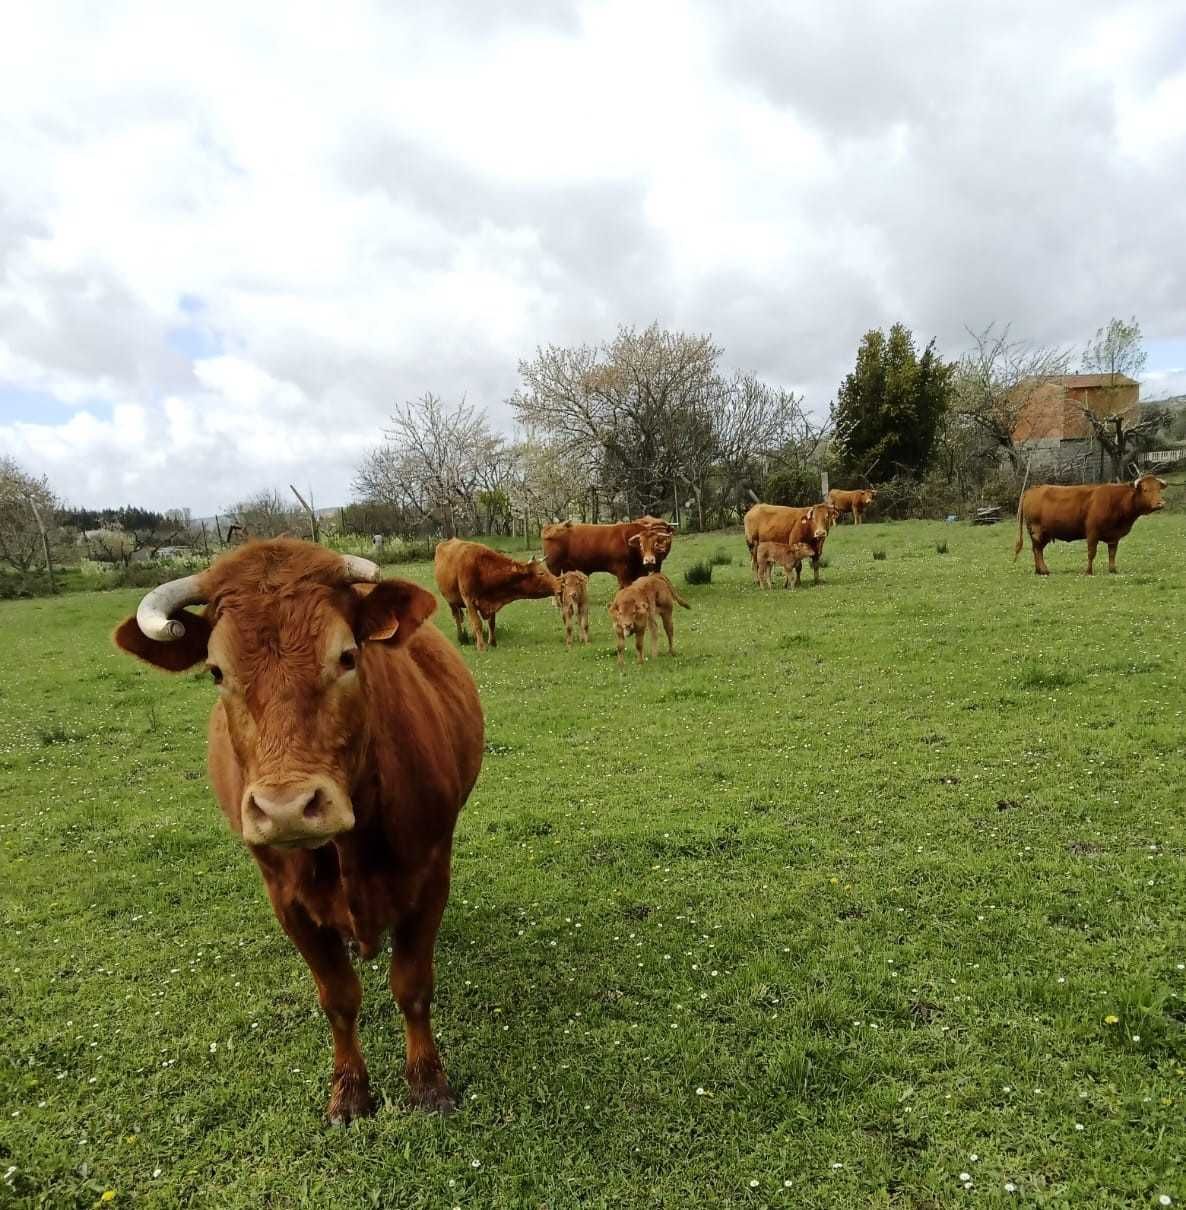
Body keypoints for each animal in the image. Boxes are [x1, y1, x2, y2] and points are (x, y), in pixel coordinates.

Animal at [111, 542, 481, 1122]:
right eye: (215, 672)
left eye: (347, 657)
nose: (285, 809)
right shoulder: (286, 900)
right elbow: (338, 997)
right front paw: (349, 1091)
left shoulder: (430, 873)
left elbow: (413, 986)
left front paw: (427, 1082)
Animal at [539, 510, 672, 585]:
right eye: (640, 544)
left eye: (656, 543)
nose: (649, 560)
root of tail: (553, 527)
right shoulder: (623, 572)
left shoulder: (640, 572)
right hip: (554, 567)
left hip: (567, 568)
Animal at [1011, 474, 1166, 573]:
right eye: (1145, 489)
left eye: (1159, 489)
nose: (1160, 503)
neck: (1117, 501)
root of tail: (1033, 489)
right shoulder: (1092, 532)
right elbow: (1091, 553)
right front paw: (1088, 571)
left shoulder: (1114, 536)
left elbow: (1112, 553)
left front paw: (1113, 570)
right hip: (1038, 531)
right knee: (1038, 550)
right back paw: (1043, 570)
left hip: (1042, 534)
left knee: (1036, 550)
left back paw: (1038, 570)